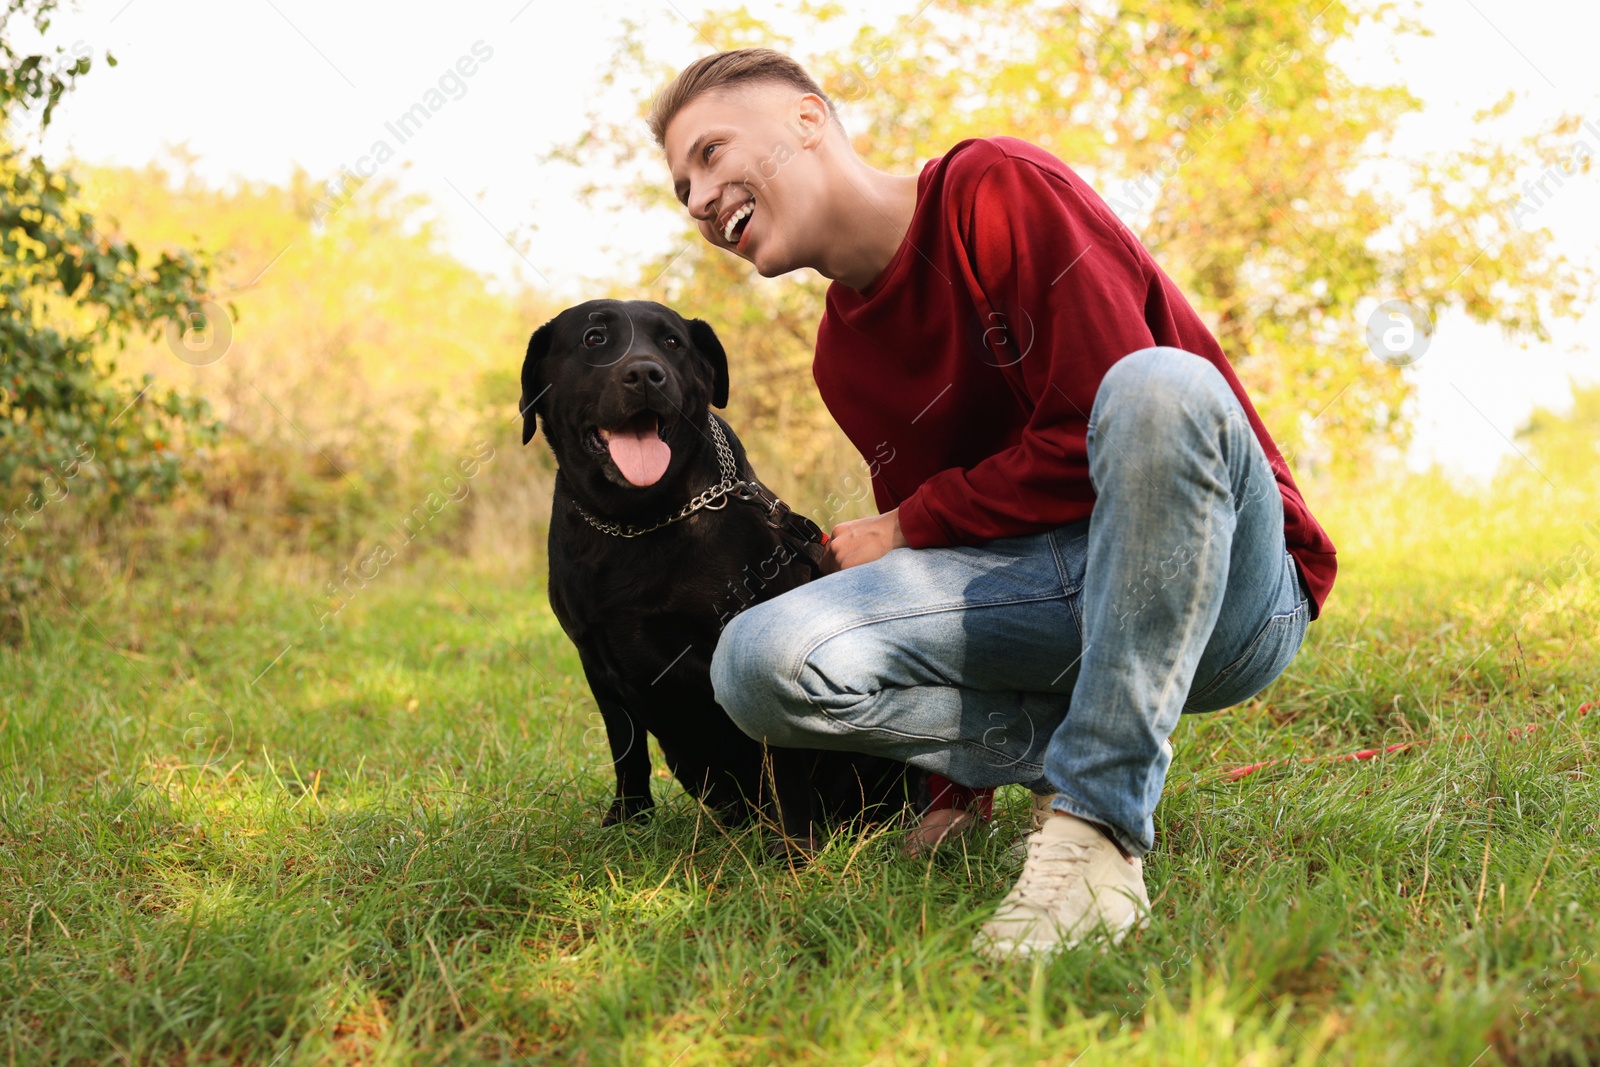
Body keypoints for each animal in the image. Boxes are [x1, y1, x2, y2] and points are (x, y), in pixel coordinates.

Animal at [518, 299, 921, 844]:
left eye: (671, 342)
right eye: (594, 338)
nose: (645, 373)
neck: (640, 521)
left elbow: (783, 761)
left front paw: (795, 847)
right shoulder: (594, 659)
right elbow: (626, 749)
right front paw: (627, 821)